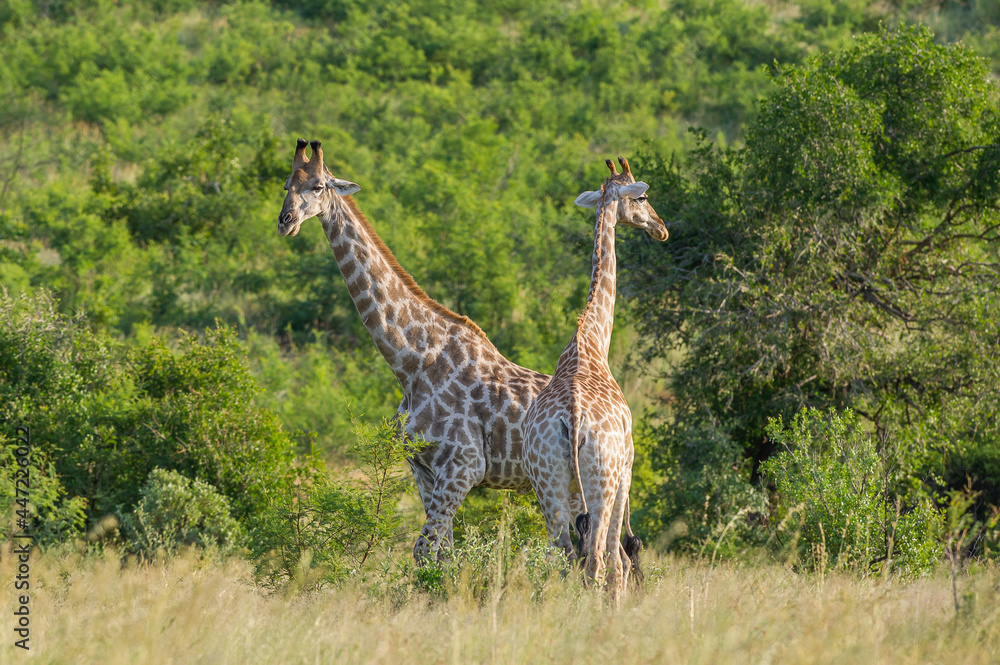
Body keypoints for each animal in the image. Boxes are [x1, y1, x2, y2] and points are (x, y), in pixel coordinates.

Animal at [277, 139, 564, 561]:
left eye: (318, 187)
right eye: (286, 185)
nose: (285, 221)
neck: (411, 363)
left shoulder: (463, 467)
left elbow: (424, 551)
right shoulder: (423, 469)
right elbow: (442, 555)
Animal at [523, 157, 668, 605]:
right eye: (642, 196)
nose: (661, 228)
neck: (591, 342)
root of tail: (571, 419)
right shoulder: (628, 469)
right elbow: (620, 556)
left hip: (547, 484)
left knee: (564, 559)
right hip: (602, 481)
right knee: (601, 561)